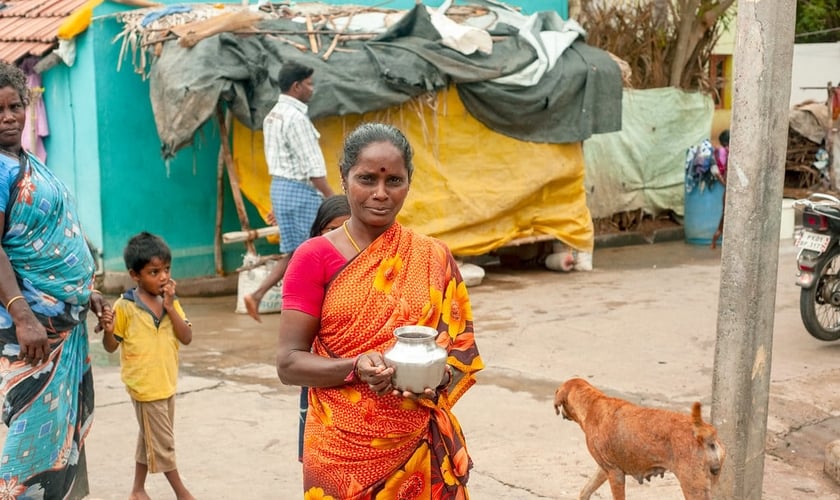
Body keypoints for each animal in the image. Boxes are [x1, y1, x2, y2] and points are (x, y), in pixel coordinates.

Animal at [556, 376, 724, 498]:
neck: (592, 403)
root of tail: (706, 434)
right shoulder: (604, 469)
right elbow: (586, 490)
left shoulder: (615, 473)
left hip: (692, 487)